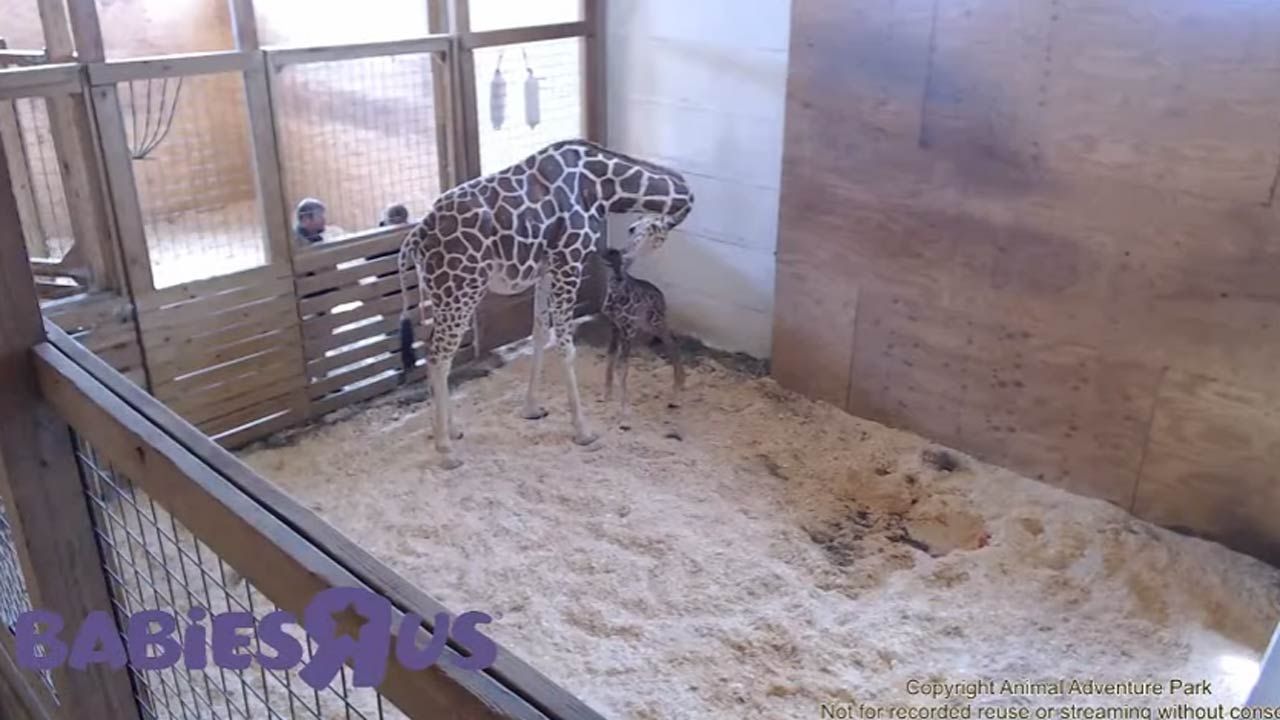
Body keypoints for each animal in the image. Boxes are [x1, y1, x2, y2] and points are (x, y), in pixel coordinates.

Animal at [396, 139, 694, 469]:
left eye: (641, 233)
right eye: (649, 236)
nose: (623, 257)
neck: (603, 185)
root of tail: (416, 236)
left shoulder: (545, 268)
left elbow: (540, 333)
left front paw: (531, 408)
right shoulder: (569, 261)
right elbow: (565, 346)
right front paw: (583, 430)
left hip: (440, 291)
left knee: (433, 350)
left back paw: (450, 430)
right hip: (461, 289)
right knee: (439, 356)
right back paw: (446, 450)